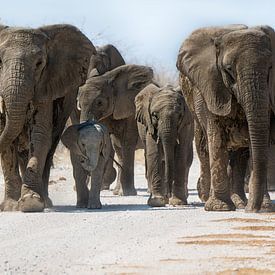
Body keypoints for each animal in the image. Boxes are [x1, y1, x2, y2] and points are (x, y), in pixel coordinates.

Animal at [0, 24, 95, 212]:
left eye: (39, 64)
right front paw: (10, 206)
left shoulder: (46, 85)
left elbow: (40, 135)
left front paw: (30, 202)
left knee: (50, 146)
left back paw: (45, 200)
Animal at [78, 65, 154, 197]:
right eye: (79, 104)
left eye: (100, 102)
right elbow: (116, 146)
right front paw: (119, 193)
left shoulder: (131, 112)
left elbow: (127, 143)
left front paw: (127, 193)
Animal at [178, 24, 274, 213]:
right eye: (228, 69)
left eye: (270, 68)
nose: (252, 210)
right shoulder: (212, 87)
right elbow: (216, 140)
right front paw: (219, 208)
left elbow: (255, 143)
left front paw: (265, 207)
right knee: (203, 147)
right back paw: (207, 197)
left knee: (240, 155)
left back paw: (240, 202)